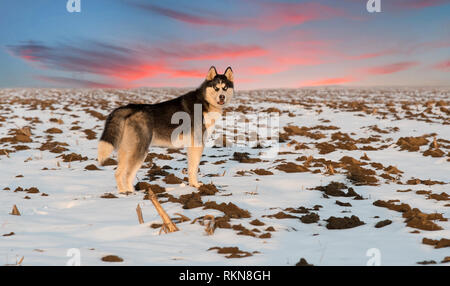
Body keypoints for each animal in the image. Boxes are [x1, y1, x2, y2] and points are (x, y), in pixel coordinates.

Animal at [97, 66, 234, 193]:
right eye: (216, 88)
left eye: (225, 88)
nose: (222, 97)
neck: (204, 102)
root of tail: (130, 107)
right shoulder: (197, 144)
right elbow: (194, 168)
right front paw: (196, 185)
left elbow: (191, 168)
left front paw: (192, 185)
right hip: (140, 150)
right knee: (127, 174)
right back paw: (130, 194)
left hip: (127, 150)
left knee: (119, 173)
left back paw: (125, 192)